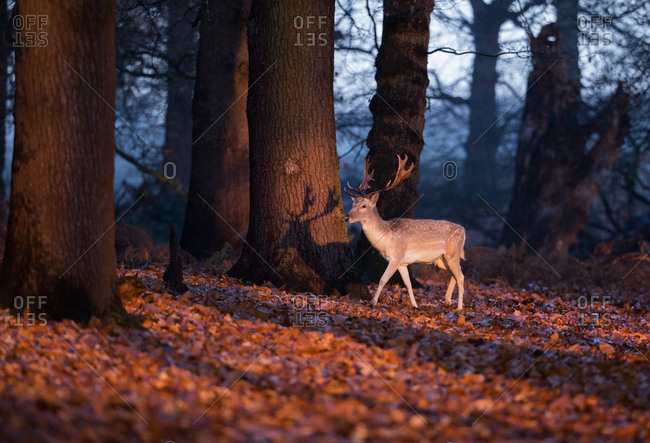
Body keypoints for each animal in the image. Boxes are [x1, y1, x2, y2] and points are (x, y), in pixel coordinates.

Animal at [344, 154, 466, 310]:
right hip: (441, 259)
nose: (347, 217)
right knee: (455, 275)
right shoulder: (403, 263)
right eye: (353, 203)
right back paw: (448, 300)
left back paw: (459, 307)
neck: (386, 238)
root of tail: (464, 230)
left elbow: (383, 279)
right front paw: (415, 305)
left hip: (453, 253)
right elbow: (408, 284)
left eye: (364, 206)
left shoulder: (397, 256)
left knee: (461, 276)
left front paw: (373, 302)